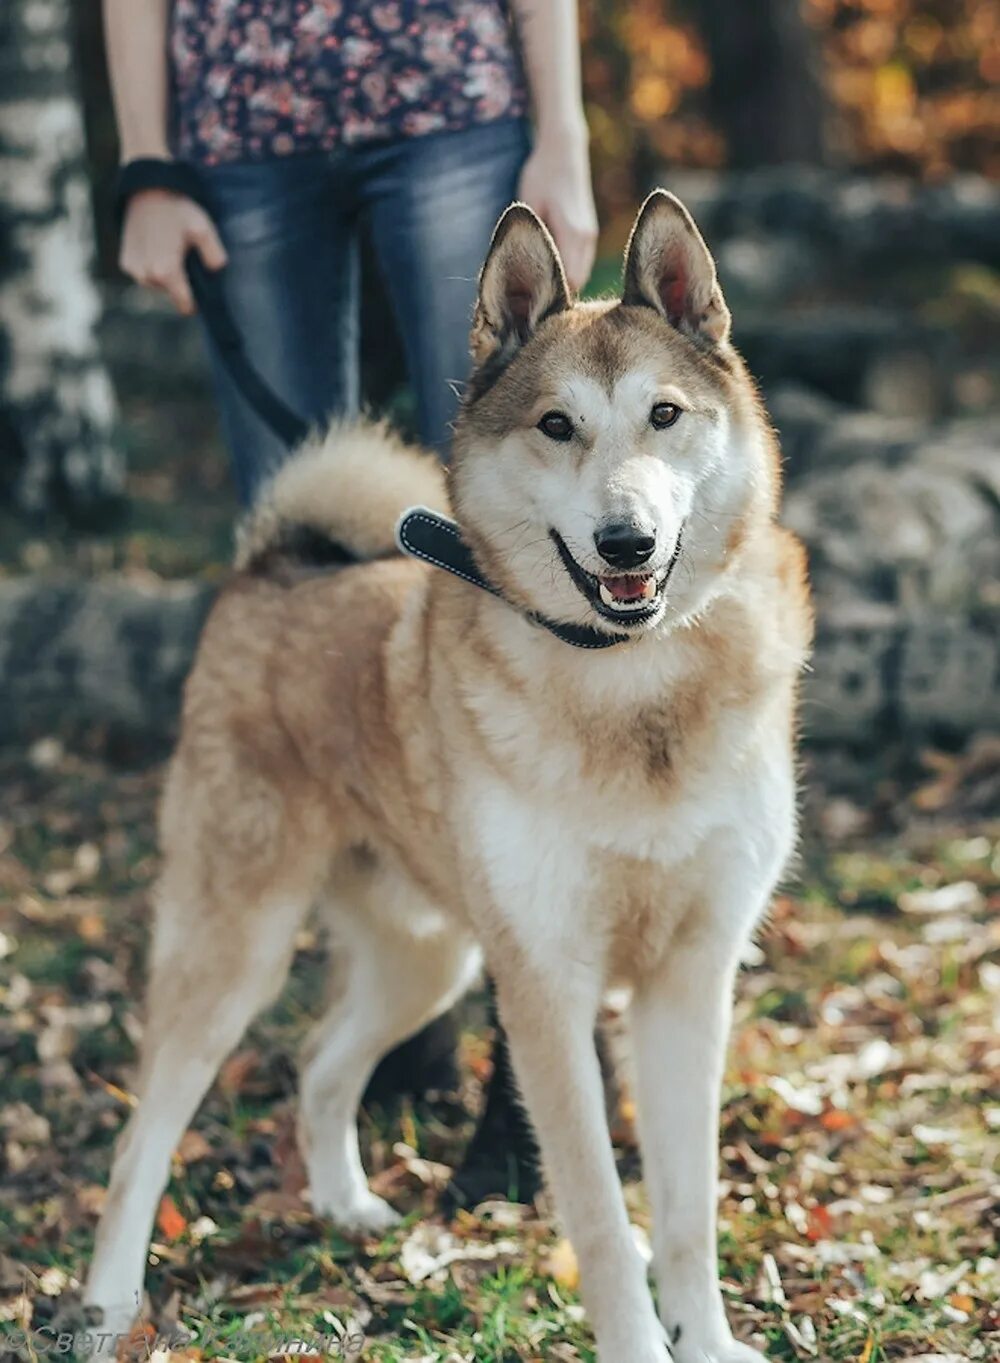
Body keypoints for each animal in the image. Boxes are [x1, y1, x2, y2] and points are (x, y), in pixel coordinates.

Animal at [82, 192, 811, 1363]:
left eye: (664, 415)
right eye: (556, 426)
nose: (626, 540)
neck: (632, 685)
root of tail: (274, 566)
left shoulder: (691, 983)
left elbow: (688, 1212)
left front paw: (704, 1341)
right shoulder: (548, 992)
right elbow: (603, 1222)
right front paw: (640, 1342)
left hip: (429, 959)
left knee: (320, 1062)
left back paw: (343, 1205)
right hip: (236, 949)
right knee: (142, 1134)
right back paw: (107, 1304)